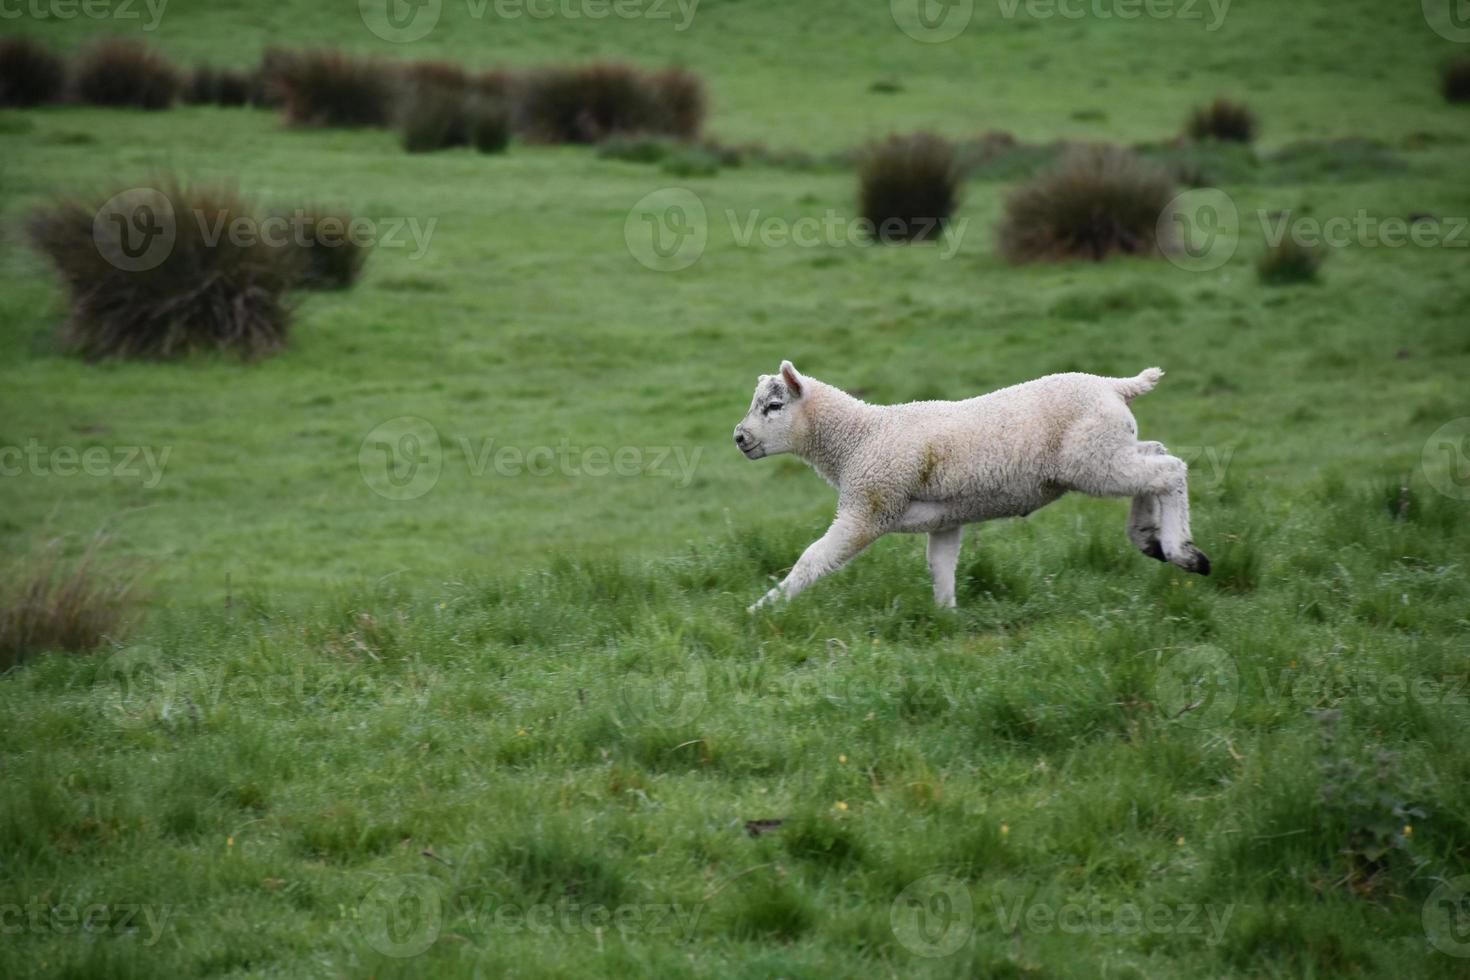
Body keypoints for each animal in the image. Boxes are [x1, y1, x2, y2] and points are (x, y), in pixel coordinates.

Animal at [732, 359, 1205, 614]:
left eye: (773, 406)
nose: (739, 437)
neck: (859, 437)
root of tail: (1112, 385)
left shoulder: (869, 508)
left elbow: (813, 559)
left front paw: (762, 609)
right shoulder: (944, 519)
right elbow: (940, 568)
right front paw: (947, 618)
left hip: (1093, 460)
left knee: (1169, 470)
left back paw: (1183, 551)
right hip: (1108, 448)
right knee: (1155, 456)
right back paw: (1149, 538)